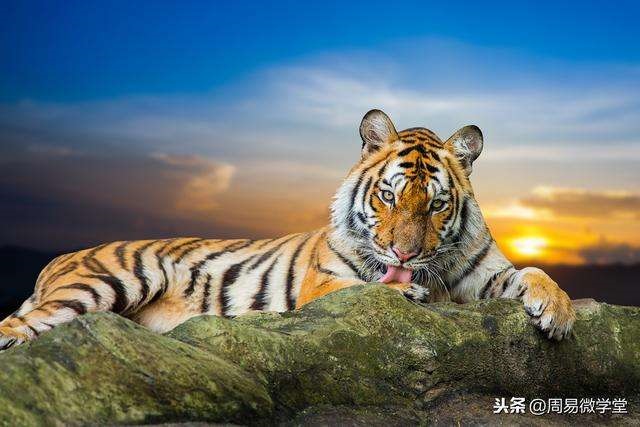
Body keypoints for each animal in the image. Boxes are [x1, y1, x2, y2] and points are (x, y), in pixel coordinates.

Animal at [0, 109, 575, 350]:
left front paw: (558, 312)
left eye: (436, 205)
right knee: (21, 324)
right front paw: (411, 292)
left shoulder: (484, 273)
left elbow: (533, 273)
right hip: (109, 281)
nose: (404, 256)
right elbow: (373, 289)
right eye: (388, 196)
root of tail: (59, 257)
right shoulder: (322, 284)